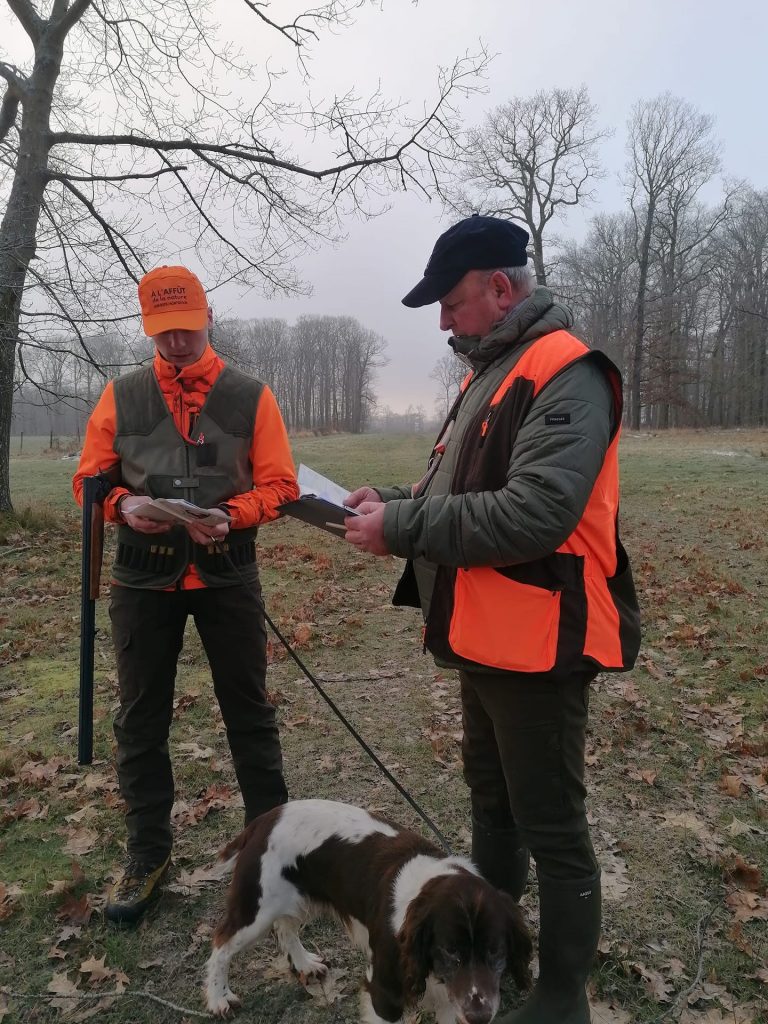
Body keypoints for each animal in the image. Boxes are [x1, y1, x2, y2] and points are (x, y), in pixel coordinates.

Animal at [204, 799, 531, 1024]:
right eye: (450, 949)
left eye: (496, 951)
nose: (480, 1016)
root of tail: (264, 819)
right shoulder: (384, 992)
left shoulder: (452, 1000)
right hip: (255, 911)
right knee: (221, 945)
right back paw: (219, 998)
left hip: (296, 899)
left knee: (285, 929)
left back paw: (305, 964)